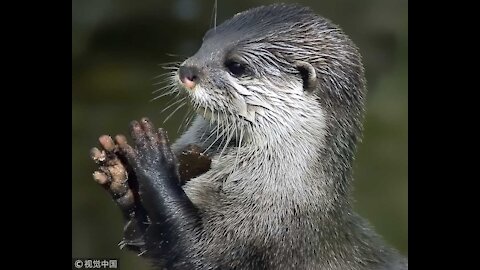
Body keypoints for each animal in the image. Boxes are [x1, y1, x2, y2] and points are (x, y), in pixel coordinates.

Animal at [91, 3, 408, 268]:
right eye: (204, 40)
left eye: (237, 66)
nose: (187, 70)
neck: (286, 192)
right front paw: (119, 172)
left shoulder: (257, 229)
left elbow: (193, 250)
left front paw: (152, 158)